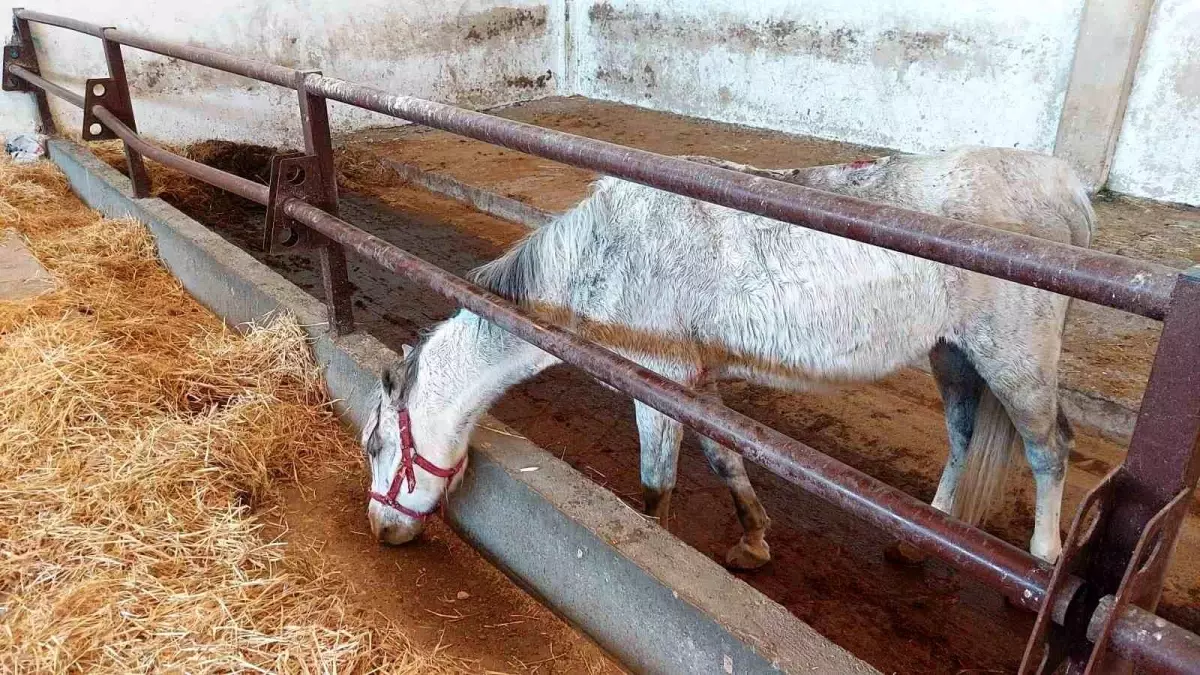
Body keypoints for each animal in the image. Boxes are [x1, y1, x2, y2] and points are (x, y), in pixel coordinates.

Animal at [357, 147, 1099, 566]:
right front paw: (753, 540)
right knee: (963, 436)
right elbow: (726, 459)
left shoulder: (658, 385)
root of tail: (1069, 186)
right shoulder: (697, 380)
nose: (379, 529)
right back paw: (918, 541)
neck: (603, 257)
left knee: (1049, 449)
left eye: (376, 447)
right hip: (953, 354)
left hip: (1016, 355)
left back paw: (1042, 562)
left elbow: (656, 487)